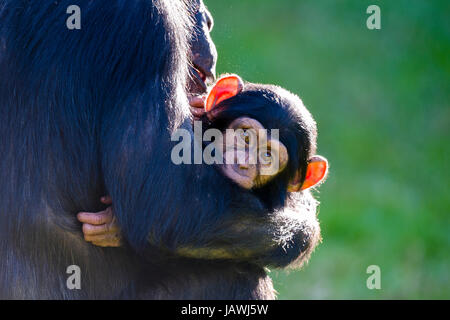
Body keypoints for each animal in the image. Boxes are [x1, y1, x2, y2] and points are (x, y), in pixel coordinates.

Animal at [0, 0, 326, 300]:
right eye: (246, 137)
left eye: (268, 156)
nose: (207, 19)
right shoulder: (148, 26)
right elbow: (170, 206)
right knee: (235, 275)